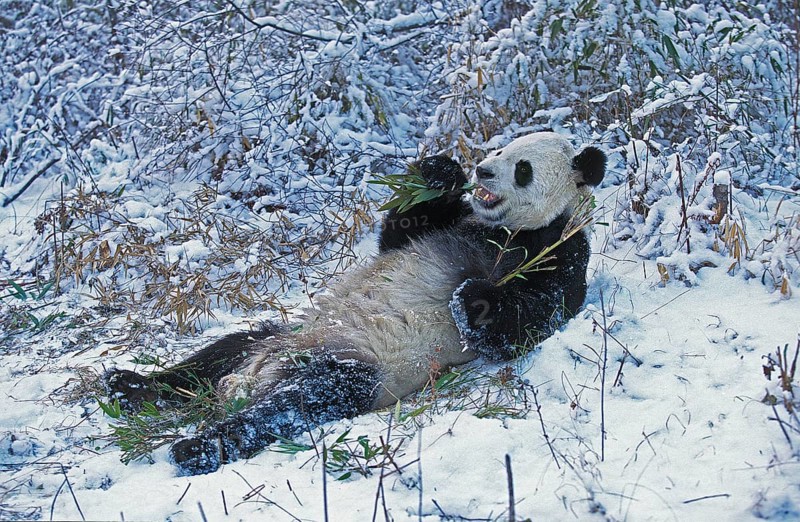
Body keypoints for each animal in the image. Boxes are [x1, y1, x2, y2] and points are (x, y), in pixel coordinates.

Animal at [104, 131, 606, 476]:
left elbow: (533, 317)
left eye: (522, 168)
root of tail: (256, 374)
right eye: (499, 150)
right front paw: (440, 172)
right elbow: (400, 233)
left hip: (354, 365)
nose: (481, 171)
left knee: (294, 403)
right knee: (214, 356)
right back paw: (129, 386)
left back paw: (196, 447)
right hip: (279, 335)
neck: (502, 229)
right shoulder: (455, 225)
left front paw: (473, 299)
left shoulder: (558, 247)